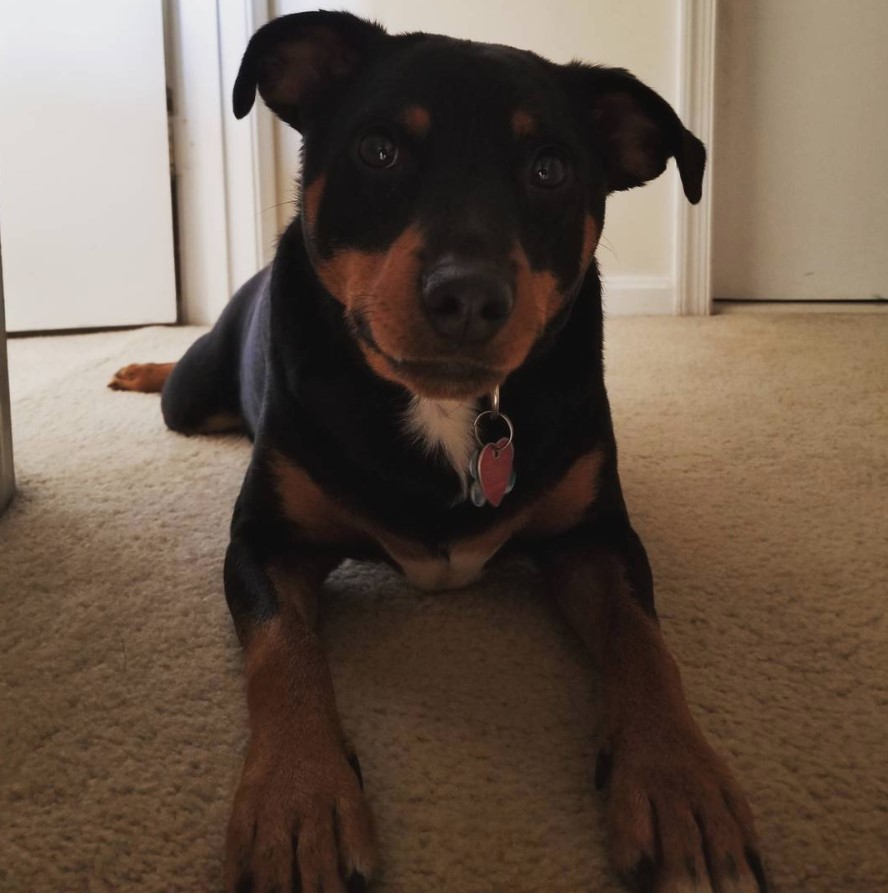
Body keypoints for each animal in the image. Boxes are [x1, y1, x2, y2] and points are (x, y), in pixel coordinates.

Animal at [111, 12, 768, 892]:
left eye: (551, 167)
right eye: (378, 149)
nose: (468, 297)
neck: (452, 411)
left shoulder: (594, 534)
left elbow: (646, 642)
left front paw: (680, 789)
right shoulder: (263, 541)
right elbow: (284, 654)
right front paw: (297, 805)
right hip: (194, 394)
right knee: (180, 387)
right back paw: (140, 366)